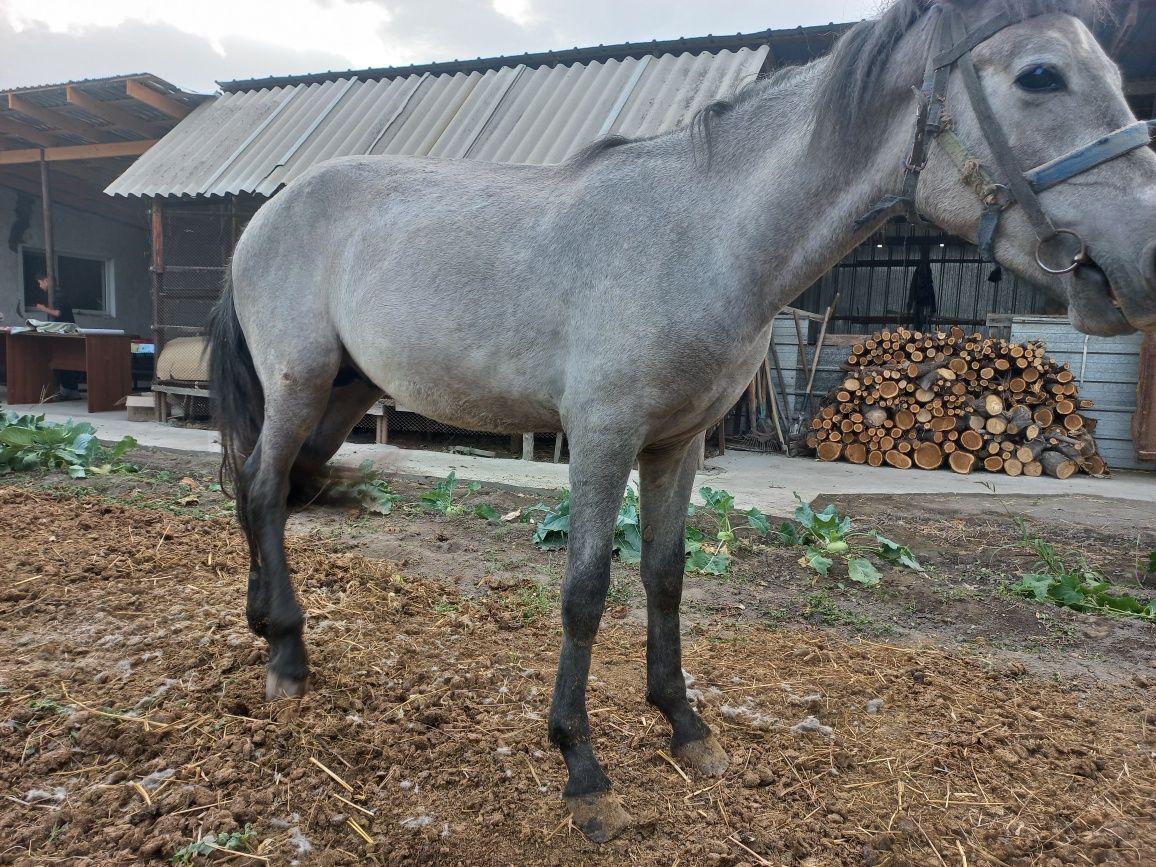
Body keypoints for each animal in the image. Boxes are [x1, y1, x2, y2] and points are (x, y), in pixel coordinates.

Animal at [210, 0, 1156, 846]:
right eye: (1041, 76)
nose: (1145, 263)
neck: (700, 238)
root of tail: (268, 214)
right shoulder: (602, 438)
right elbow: (586, 589)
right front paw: (583, 769)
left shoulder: (680, 444)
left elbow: (665, 575)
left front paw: (685, 724)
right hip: (301, 384)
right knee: (262, 488)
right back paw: (287, 658)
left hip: (344, 393)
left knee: (271, 493)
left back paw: (268, 629)